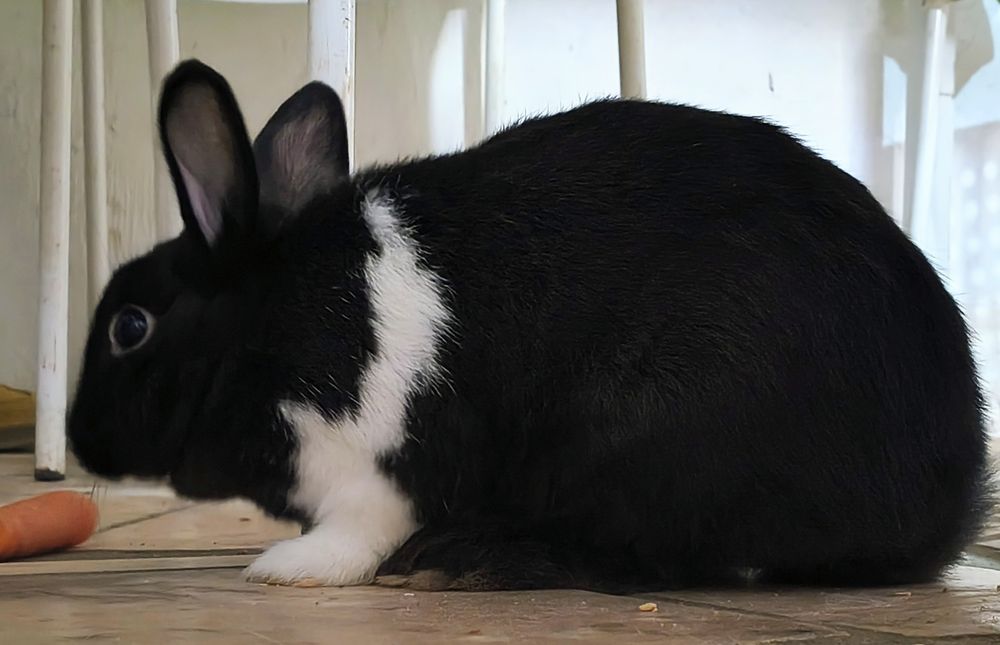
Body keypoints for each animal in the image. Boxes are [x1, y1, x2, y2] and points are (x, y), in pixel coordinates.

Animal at [68, 59, 992, 592]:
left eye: (130, 326)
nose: (79, 439)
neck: (273, 322)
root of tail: (947, 501)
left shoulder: (367, 469)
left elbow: (356, 532)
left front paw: (285, 568)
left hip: (645, 441)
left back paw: (471, 558)